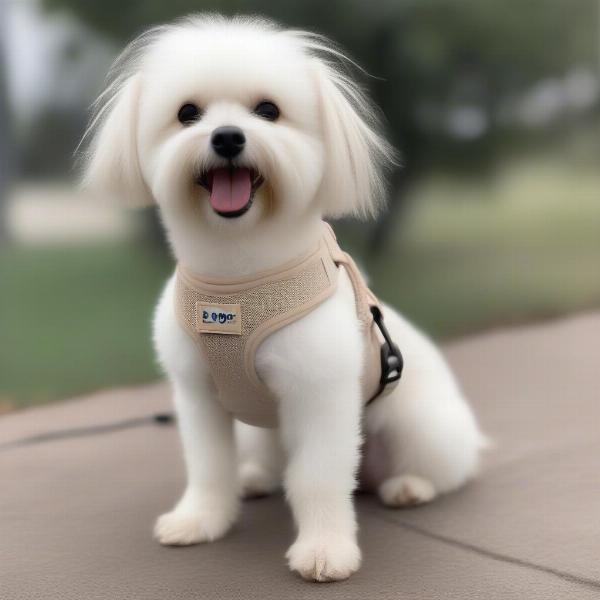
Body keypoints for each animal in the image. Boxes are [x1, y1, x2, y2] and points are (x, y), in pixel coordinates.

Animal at [83, 15, 488, 580]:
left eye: (268, 110)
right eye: (187, 113)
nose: (228, 136)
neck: (238, 281)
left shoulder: (318, 393)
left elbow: (317, 477)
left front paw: (325, 550)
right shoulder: (197, 392)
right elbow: (208, 465)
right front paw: (200, 519)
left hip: (420, 424)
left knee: (447, 468)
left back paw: (410, 486)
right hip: (263, 430)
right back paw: (255, 477)